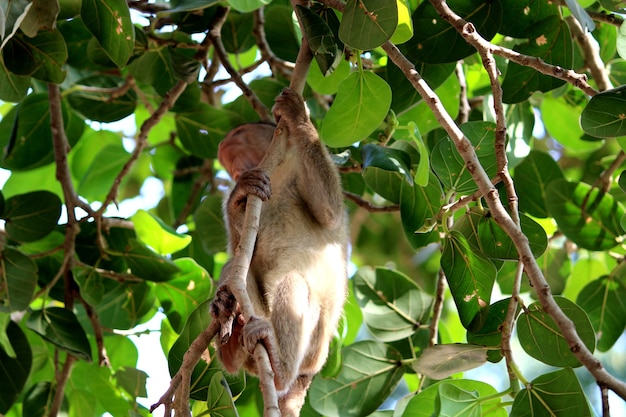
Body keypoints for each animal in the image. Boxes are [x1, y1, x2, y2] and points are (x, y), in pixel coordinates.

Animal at [210, 88, 346, 416]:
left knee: (292, 283)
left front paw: (298, 116)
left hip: (315, 343)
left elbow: (330, 213)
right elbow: (245, 249)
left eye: (239, 138)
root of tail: (309, 373)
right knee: (238, 269)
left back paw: (280, 367)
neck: (280, 170)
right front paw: (238, 195)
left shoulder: (297, 163)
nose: (238, 170)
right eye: (231, 166)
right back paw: (231, 335)